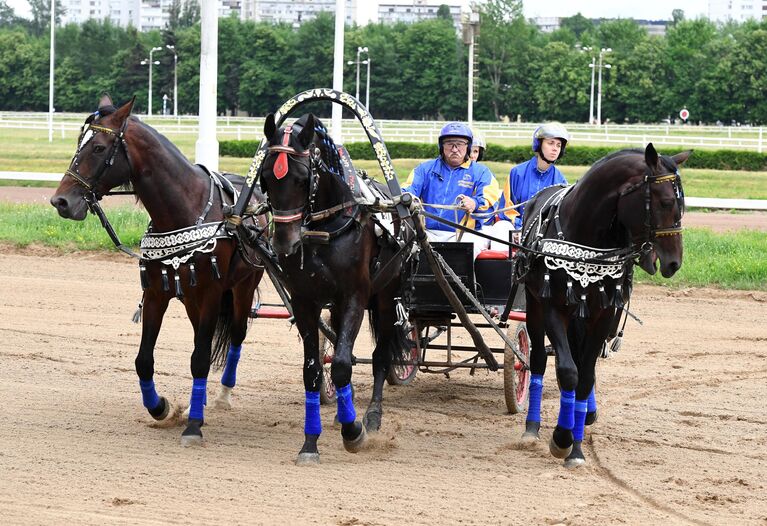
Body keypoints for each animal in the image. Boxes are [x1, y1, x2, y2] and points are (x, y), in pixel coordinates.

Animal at [50, 95, 268, 446]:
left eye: (98, 147)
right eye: (78, 143)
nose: (61, 201)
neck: (185, 209)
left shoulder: (211, 293)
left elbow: (200, 359)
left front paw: (193, 425)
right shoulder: (155, 293)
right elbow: (144, 360)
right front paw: (160, 408)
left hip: (242, 286)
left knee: (236, 336)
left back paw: (221, 395)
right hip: (192, 300)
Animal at [260, 112, 412, 466]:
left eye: (302, 178)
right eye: (266, 177)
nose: (284, 243)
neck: (326, 229)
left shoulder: (355, 295)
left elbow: (342, 365)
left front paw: (353, 431)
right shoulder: (306, 301)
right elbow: (313, 370)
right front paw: (310, 442)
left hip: (386, 295)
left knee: (381, 355)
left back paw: (370, 416)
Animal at [516, 142, 688, 468]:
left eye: (682, 205)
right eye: (665, 201)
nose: (674, 263)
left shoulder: (604, 314)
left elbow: (585, 376)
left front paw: (576, 446)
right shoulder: (553, 307)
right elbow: (568, 371)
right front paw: (561, 438)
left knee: (585, 362)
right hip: (533, 304)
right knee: (539, 359)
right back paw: (531, 427)